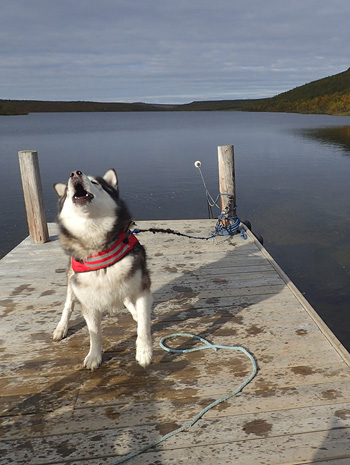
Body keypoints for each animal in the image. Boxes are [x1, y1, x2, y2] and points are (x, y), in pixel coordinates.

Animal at [52, 169, 152, 368]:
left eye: (95, 182)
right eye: (66, 191)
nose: (75, 173)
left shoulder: (142, 286)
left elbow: (144, 324)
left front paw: (144, 352)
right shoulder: (86, 298)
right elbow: (94, 332)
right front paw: (94, 355)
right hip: (71, 280)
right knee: (68, 304)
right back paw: (61, 327)